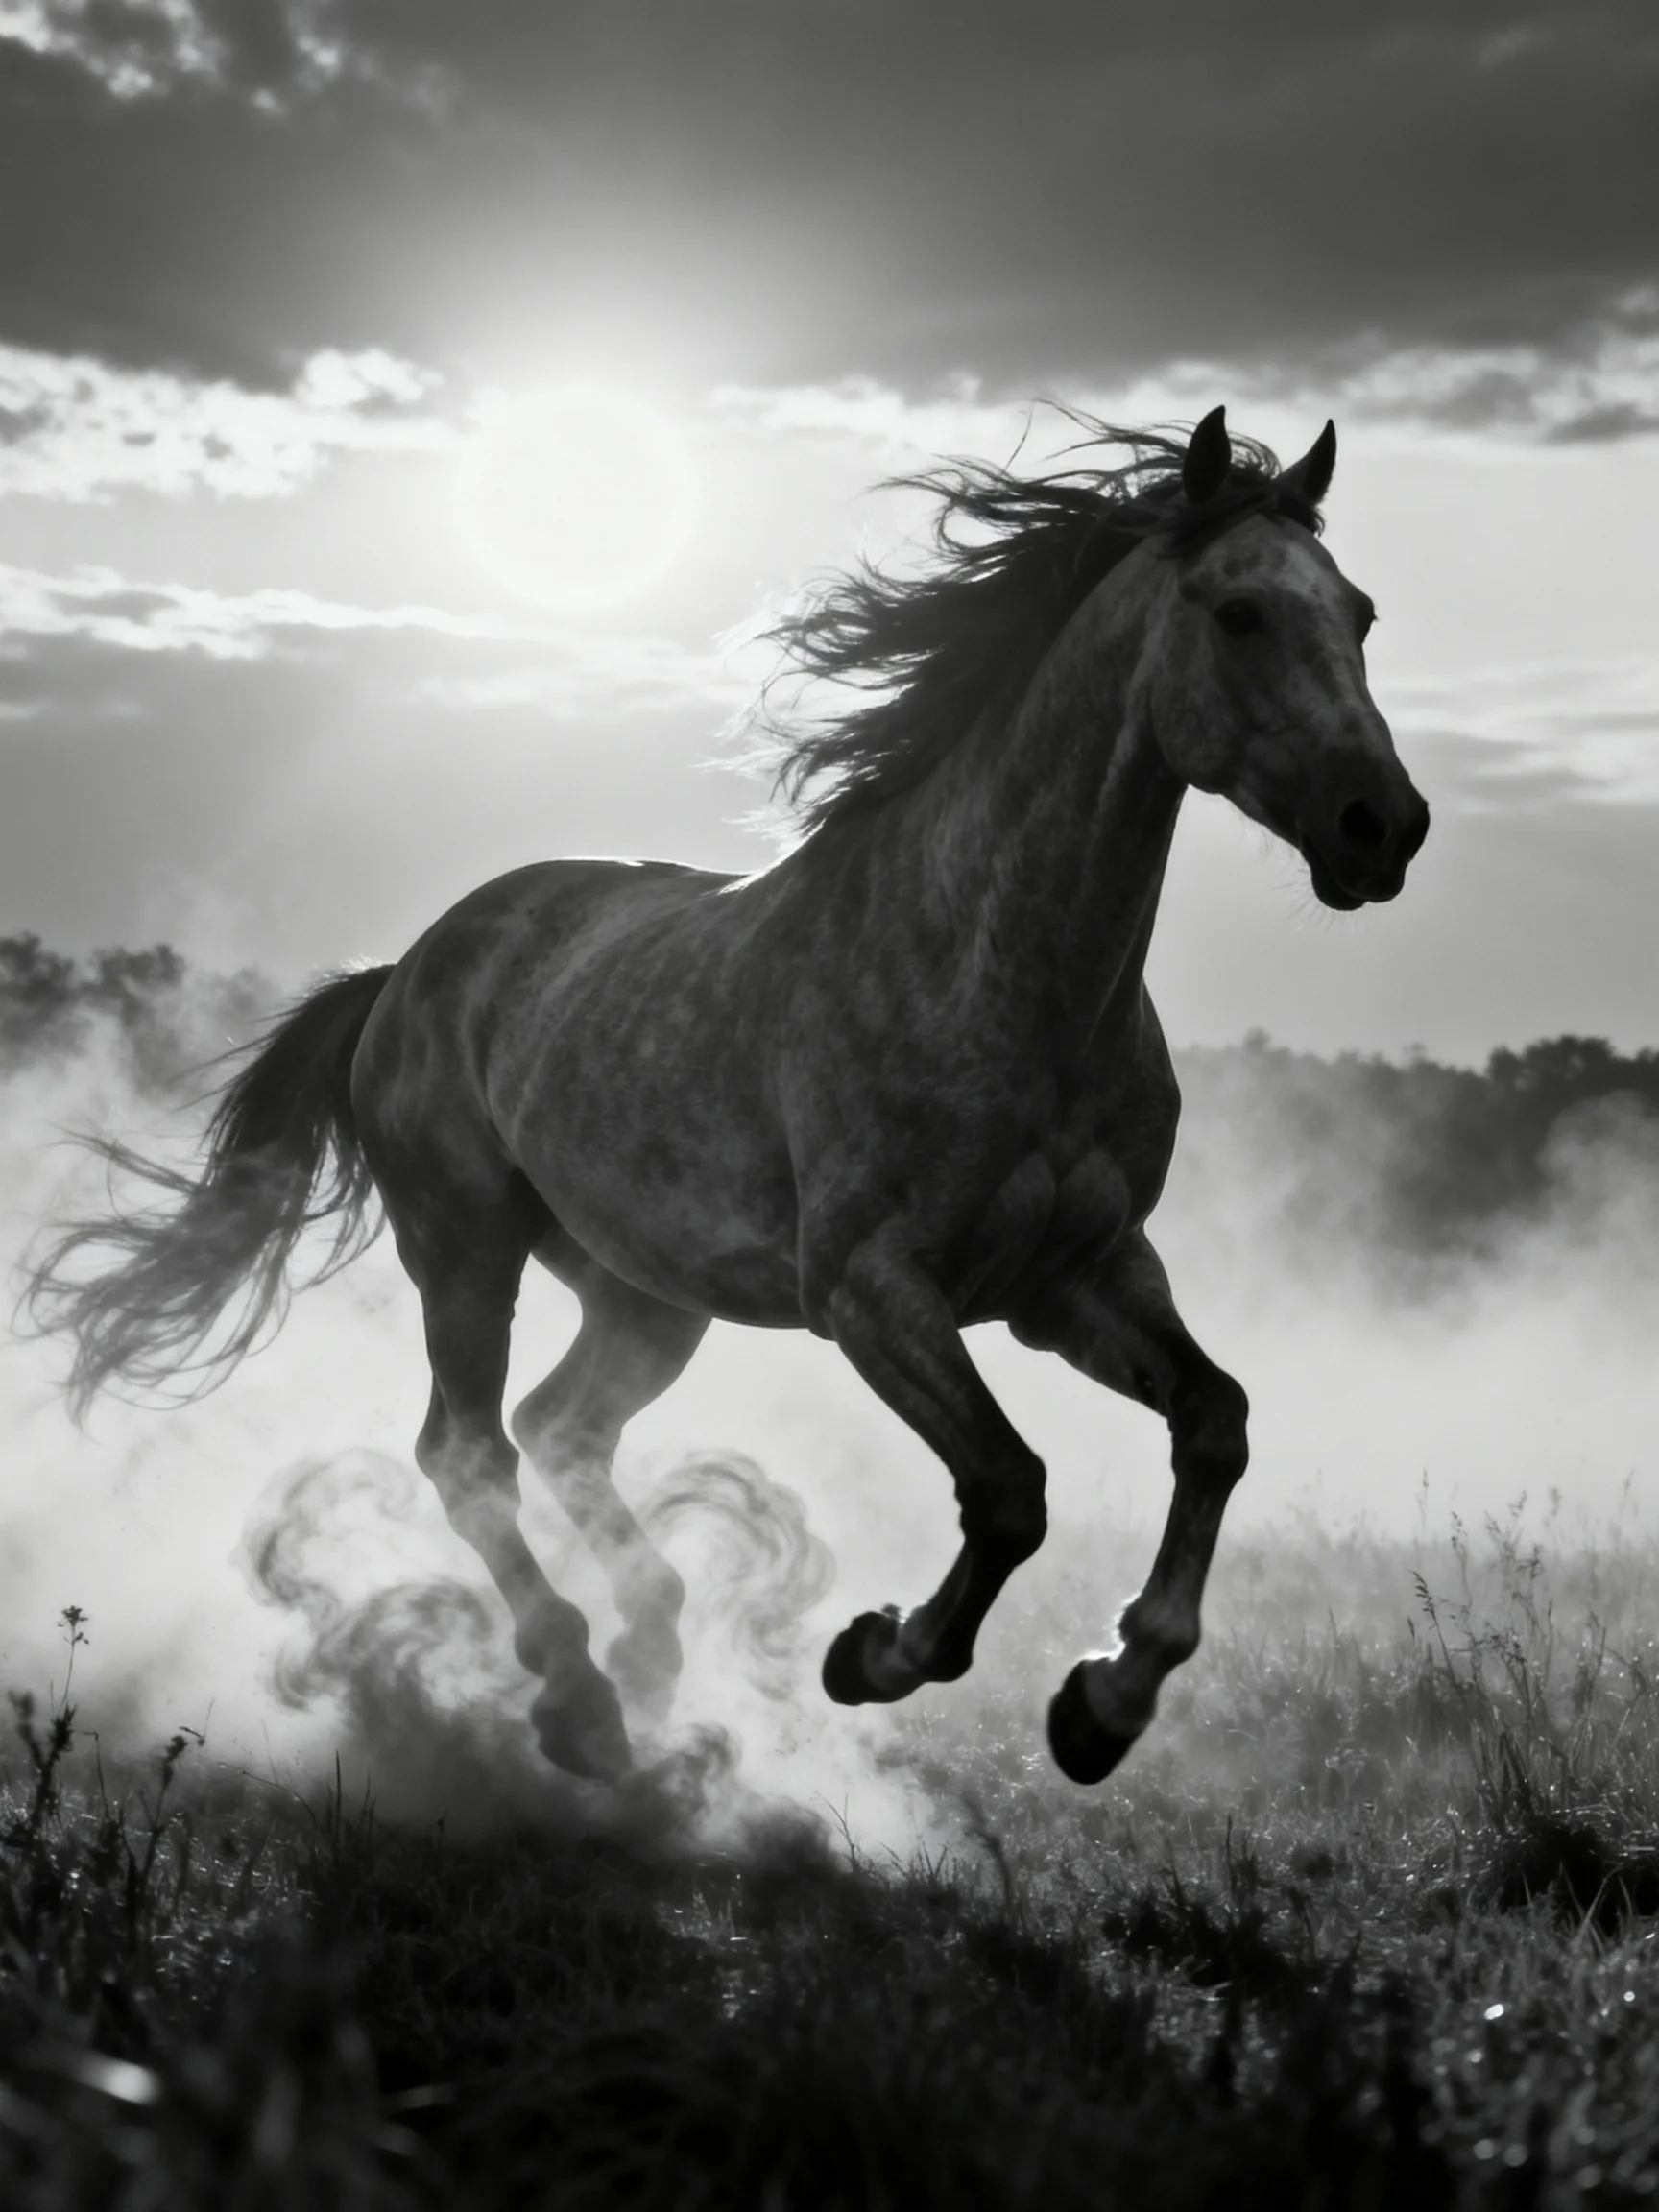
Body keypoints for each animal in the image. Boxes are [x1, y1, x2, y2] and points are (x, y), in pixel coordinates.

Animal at [26, 407, 1429, 1787]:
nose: (1384, 827)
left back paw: (649, 1657)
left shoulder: (1078, 1279)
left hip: (645, 1293)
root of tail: (403, 971)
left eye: (1360, 612)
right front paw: (875, 1654)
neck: (1005, 974)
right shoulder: (871, 1291)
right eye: (1239, 611)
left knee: (560, 1429)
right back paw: (582, 1700)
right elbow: (1010, 1487)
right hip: (465, 1247)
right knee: (469, 1452)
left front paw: (1105, 1702)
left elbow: (1214, 1422)